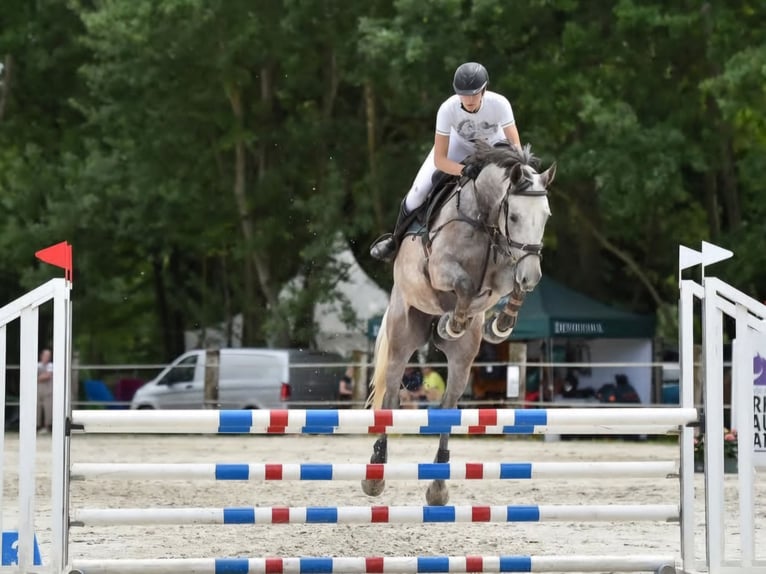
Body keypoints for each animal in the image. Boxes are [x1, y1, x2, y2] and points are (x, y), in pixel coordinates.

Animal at [364, 142, 556, 506]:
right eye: (514, 216)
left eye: (546, 217)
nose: (534, 275)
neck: (483, 220)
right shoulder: (439, 269)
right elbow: (464, 284)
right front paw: (452, 322)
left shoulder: (501, 276)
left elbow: (504, 288)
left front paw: (500, 323)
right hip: (401, 336)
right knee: (390, 398)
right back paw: (376, 473)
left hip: (462, 358)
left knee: (448, 406)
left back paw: (438, 485)